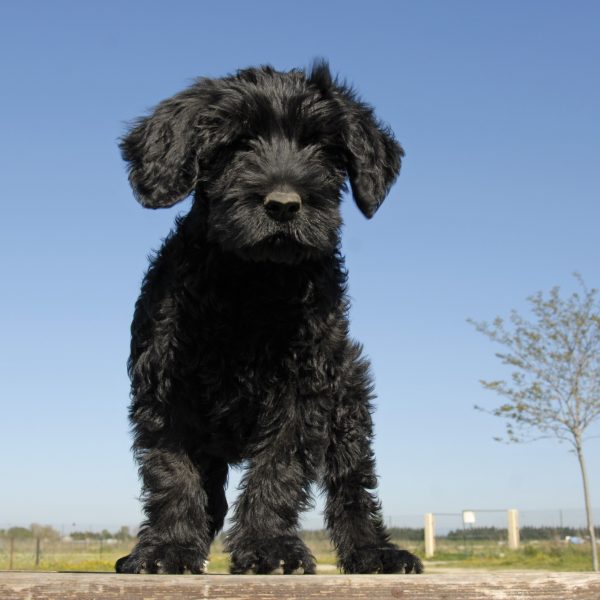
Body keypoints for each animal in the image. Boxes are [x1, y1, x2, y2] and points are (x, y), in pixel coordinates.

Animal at [116, 62, 422, 576]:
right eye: (237, 143)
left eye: (321, 146)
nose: (283, 204)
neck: (253, 284)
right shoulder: (166, 388)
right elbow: (173, 472)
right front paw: (168, 548)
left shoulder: (305, 389)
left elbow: (280, 468)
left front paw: (269, 547)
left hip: (350, 401)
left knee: (353, 487)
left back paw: (374, 551)